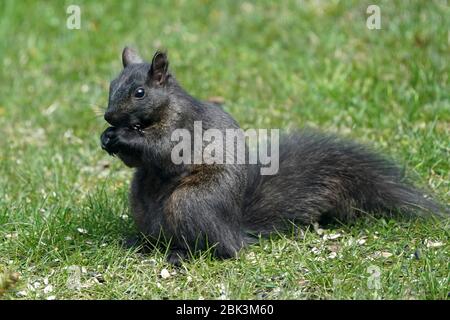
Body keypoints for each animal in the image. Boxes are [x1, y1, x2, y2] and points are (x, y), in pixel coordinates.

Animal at [101, 46, 442, 264]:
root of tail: (235, 231)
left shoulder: (185, 126)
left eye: (140, 93)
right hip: (142, 205)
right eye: (111, 85)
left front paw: (122, 136)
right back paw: (140, 243)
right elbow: (138, 161)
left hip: (191, 203)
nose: (108, 116)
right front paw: (107, 137)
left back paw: (182, 255)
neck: (159, 111)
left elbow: (164, 151)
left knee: (219, 250)